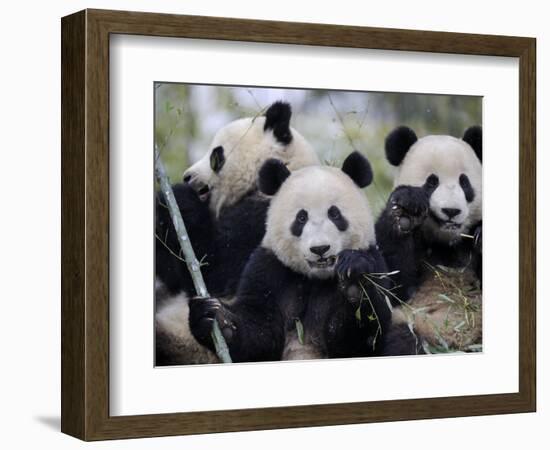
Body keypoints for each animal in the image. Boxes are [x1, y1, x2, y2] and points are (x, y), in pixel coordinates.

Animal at [155, 100, 322, 364]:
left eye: (216, 154)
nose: (187, 176)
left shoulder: (268, 219)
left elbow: (215, 271)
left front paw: (179, 197)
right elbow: (173, 273)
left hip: (188, 346)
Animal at [189, 152, 392, 362]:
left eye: (335, 214)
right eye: (301, 218)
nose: (320, 248)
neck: (315, 278)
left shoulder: (375, 260)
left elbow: (358, 342)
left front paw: (355, 284)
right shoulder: (268, 269)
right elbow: (259, 334)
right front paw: (216, 318)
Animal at [378, 124, 486, 356]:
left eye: (464, 182)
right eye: (431, 182)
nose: (451, 211)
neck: (445, 243)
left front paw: (481, 235)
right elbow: (392, 285)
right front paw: (407, 209)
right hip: (411, 323)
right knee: (398, 339)